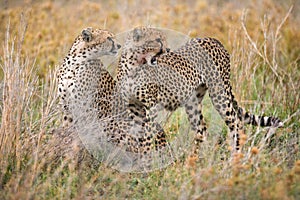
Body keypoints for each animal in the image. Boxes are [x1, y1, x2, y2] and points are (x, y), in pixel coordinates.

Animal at [118, 26, 284, 152]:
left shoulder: (150, 108)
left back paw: (235, 158)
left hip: (219, 93)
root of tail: (214, 39)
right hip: (193, 101)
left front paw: (147, 161)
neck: (134, 66)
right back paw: (194, 159)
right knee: (202, 129)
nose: (168, 49)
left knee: (236, 123)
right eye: (157, 40)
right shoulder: (134, 108)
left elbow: (148, 136)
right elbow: (139, 136)